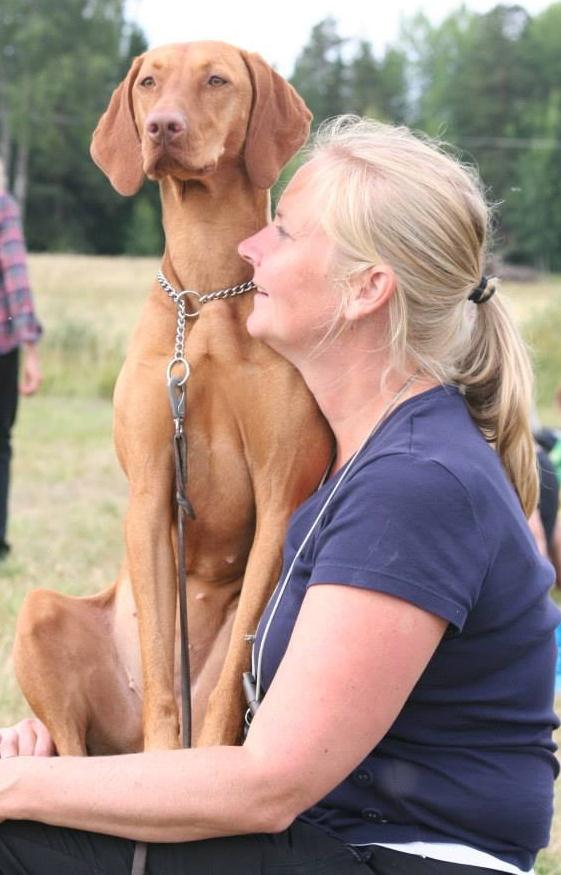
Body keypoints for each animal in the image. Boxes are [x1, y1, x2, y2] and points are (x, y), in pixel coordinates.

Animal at [13, 42, 330, 752]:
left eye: (216, 79)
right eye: (149, 82)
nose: (162, 126)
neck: (205, 297)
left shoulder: (279, 500)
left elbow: (232, 676)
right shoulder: (153, 489)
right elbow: (161, 660)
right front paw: (166, 753)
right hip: (37, 616)